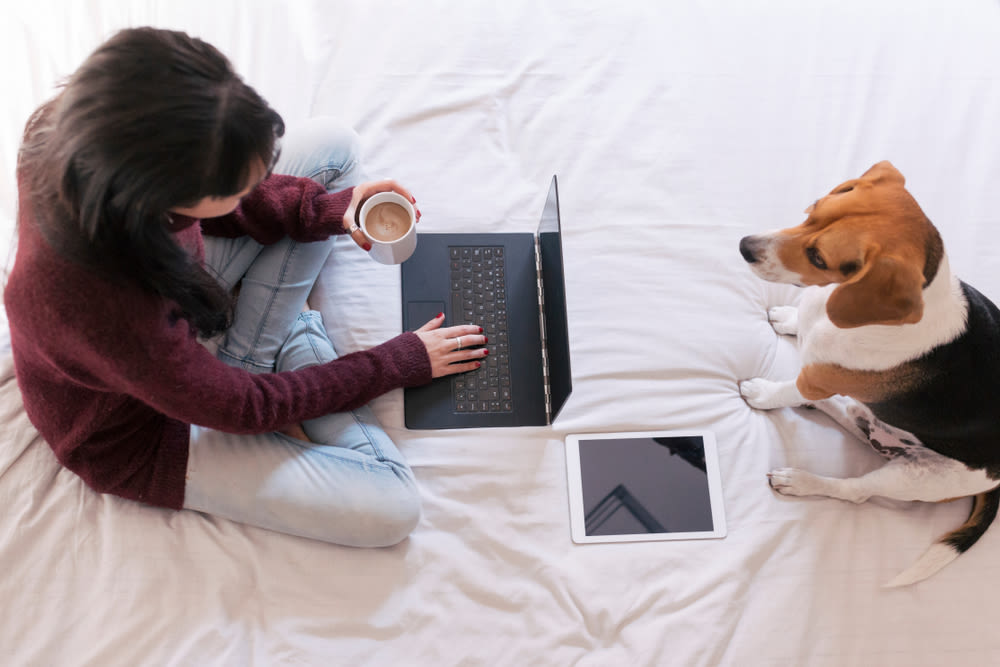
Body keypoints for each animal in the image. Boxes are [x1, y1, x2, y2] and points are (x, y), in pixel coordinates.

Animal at [736, 159, 1000, 588]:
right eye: (812, 211)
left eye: (818, 257)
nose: (744, 246)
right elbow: (798, 324)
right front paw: (789, 318)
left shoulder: (813, 378)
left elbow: (786, 389)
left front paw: (761, 393)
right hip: (876, 430)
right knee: (850, 416)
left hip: (917, 479)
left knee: (853, 491)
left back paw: (800, 480)